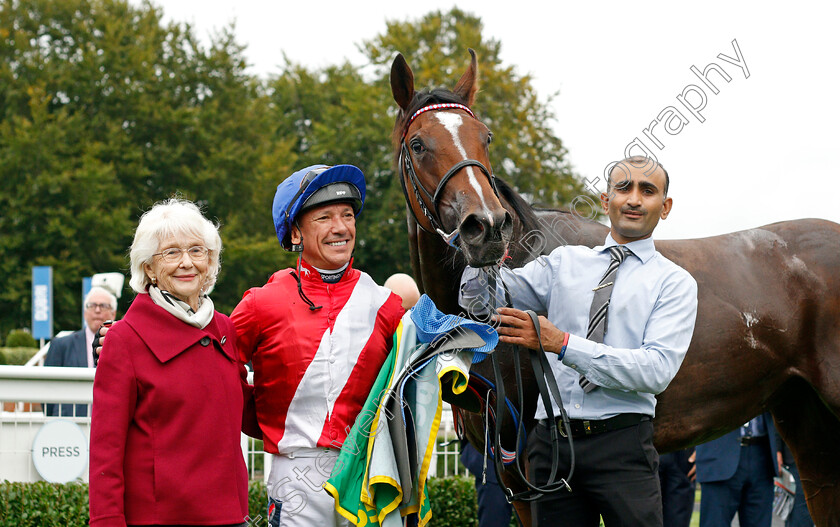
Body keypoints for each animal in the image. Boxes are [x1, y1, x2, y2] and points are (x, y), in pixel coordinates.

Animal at [390, 48, 840, 524]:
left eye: (486, 138)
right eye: (418, 144)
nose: (488, 226)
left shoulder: (533, 462)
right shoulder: (512, 473)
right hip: (806, 419)